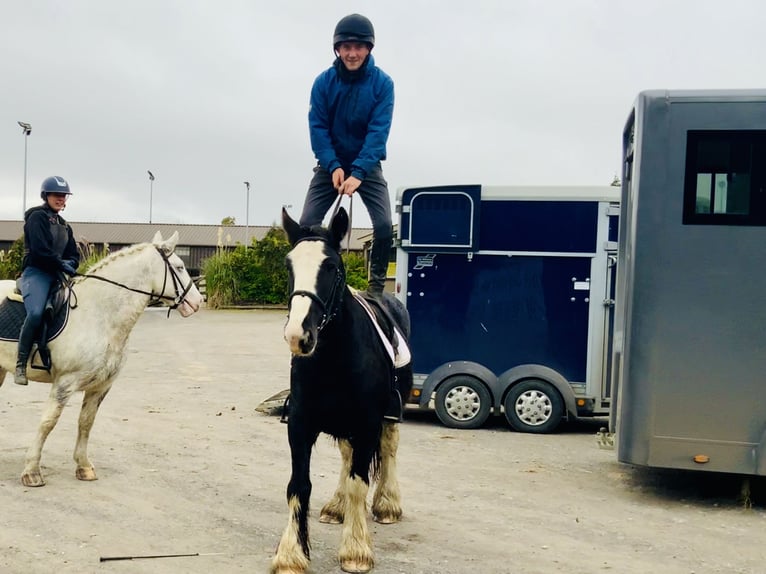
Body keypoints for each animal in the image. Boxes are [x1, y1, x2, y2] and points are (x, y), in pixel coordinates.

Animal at [0, 232, 202, 488]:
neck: (100, 315)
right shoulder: (64, 383)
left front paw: (84, 467)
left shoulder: (101, 385)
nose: (197, 302)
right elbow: (48, 422)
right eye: (179, 267)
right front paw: (31, 471)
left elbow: (86, 422)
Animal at [272, 208, 412, 574]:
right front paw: (291, 554)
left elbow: (358, 483)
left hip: (387, 418)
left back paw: (388, 504)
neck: (333, 355)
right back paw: (336, 507)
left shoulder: (367, 424)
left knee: (388, 450)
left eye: (331, 267)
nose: (298, 335)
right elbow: (299, 485)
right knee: (347, 459)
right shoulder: (300, 424)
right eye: (289, 265)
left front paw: (356, 551)